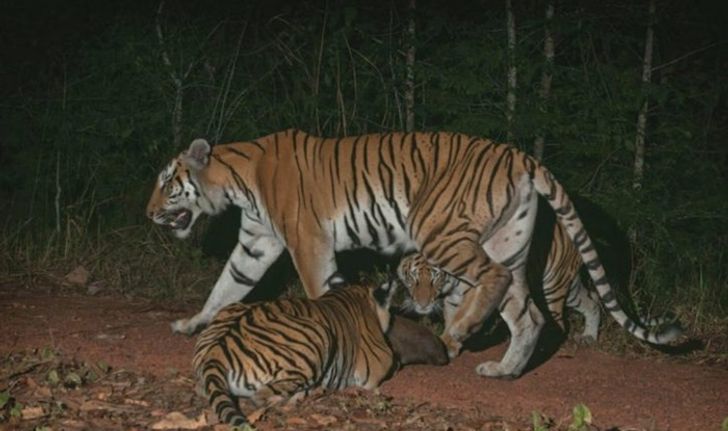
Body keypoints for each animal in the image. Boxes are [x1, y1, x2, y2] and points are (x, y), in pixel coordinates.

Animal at [145, 130, 680, 380]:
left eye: (168, 184)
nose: (148, 212)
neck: (237, 180)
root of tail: (523, 156)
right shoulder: (257, 242)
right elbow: (226, 286)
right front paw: (191, 324)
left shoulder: (306, 241)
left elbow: (318, 291)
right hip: (508, 242)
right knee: (527, 313)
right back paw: (503, 369)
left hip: (442, 229)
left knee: (493, 282)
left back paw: (459, 330)